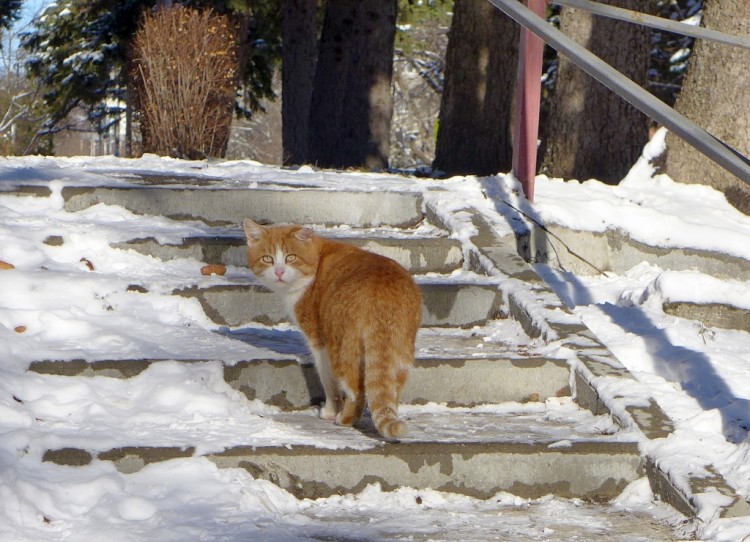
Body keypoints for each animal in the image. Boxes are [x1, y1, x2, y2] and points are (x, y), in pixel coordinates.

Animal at [245, 219, 424, 440]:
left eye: (290, 257)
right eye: (267, 259)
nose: (279, 272)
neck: (316, 263)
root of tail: (383, 289)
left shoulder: (318, 340)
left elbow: (328, 381)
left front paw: (330, 411)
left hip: (343, 346)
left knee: (356, 390)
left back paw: (345, 419)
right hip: (401, 348)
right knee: (391, 388)